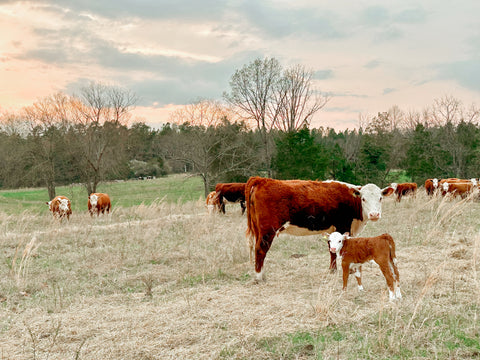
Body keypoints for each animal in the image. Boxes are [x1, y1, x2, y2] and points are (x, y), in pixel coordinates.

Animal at [244, 177, 394, 282]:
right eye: (363, 199)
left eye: (380, 198)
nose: (374, 214)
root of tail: (261, 180)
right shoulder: (344, 227)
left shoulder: (333, 230)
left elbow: (332, 250)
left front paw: (332, 270)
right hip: (267, 231)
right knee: (261, 250)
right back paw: (259, 277)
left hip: (258, 230)